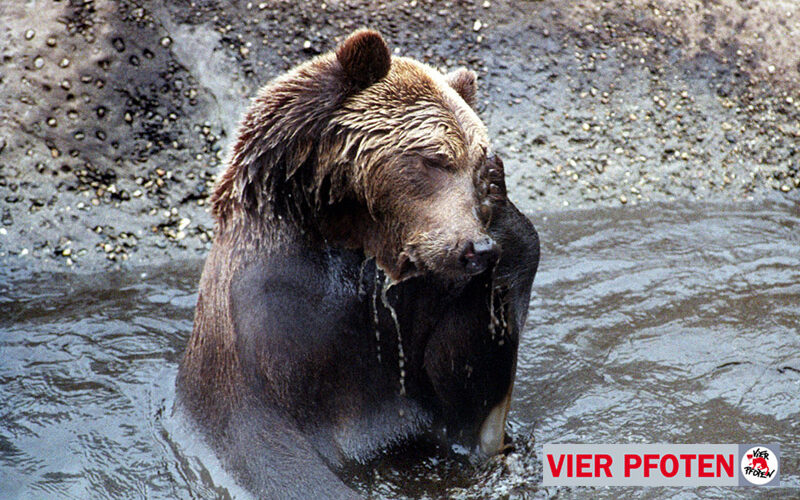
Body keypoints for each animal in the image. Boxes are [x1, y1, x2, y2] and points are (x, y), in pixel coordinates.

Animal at [175, 29, 539, 499]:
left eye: (475, 164)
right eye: (434, 159)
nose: (476, 248)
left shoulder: (416, 303)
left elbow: (466, 393)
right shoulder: (267, 316)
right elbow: (269, 446)